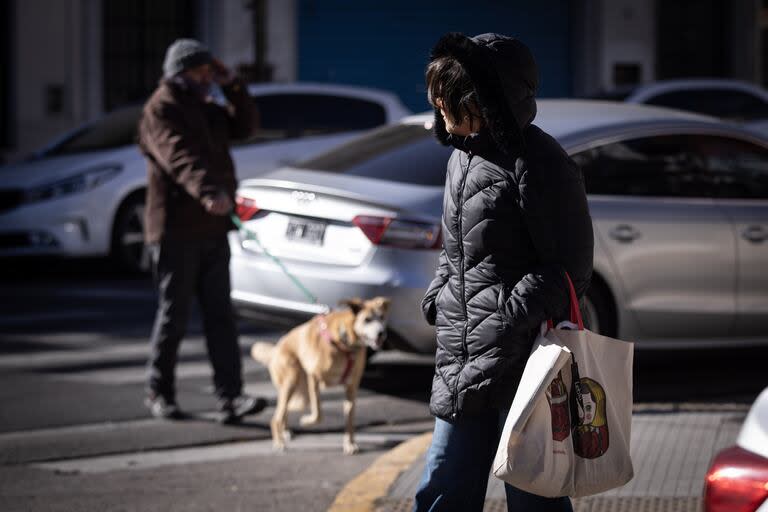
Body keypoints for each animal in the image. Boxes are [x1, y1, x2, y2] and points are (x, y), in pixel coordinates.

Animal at [250, 296, 390, 456]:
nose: (381, 333)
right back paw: (279, 441)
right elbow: (318, 414)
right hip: (292, 382)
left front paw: (349, 444)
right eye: (367, 319)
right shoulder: (314, 377)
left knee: (285, 410)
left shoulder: (351, 388)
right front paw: (306, 421)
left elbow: (349, 420)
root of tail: (276, 349)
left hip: (300, 395)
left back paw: (284, 432)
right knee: (277, 416)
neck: (345, 344)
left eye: (382, 317)